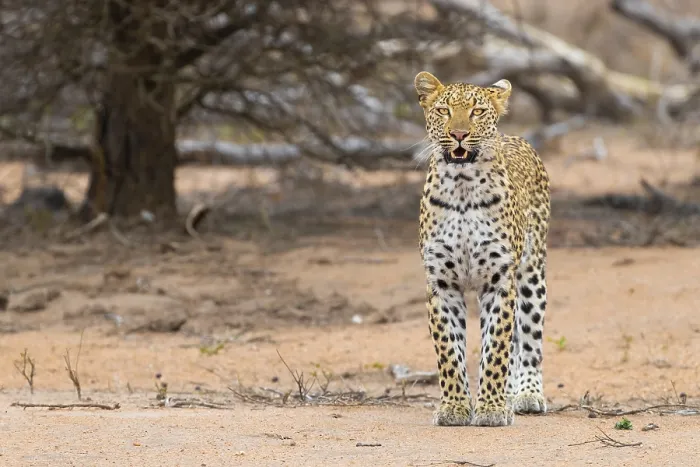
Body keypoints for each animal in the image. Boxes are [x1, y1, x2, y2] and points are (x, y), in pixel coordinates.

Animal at [414, 71, 551, 427]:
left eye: (477, 111)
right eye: (444, 111)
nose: (459, 134)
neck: (462, 187)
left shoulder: (499, 281)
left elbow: (497, 348)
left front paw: (491, 408)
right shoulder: (441, 284)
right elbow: (449, 351)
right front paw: (455, 407)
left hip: (531, 273)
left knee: (528, 338)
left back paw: (526, 394)